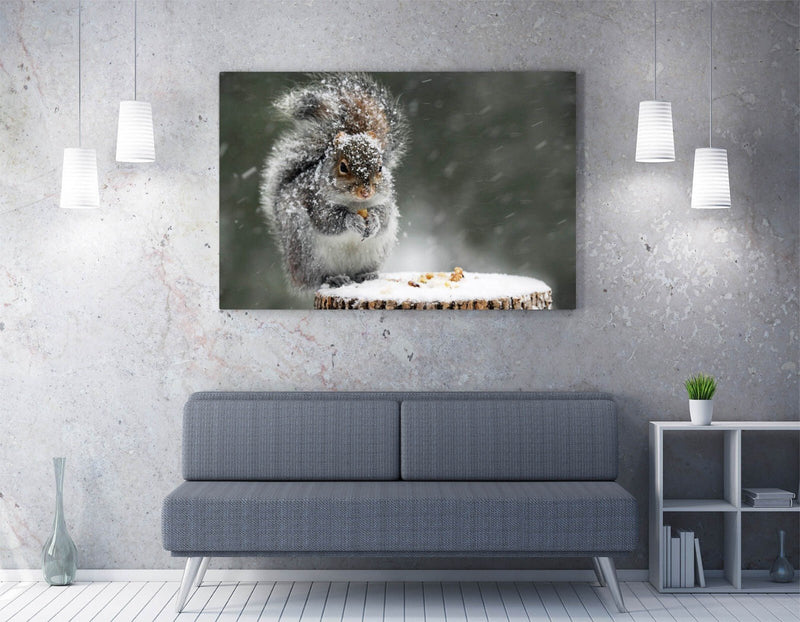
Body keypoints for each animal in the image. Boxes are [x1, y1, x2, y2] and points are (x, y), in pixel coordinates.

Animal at [260, 73, 408, 290]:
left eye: (380, 167)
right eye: (343, 167)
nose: (366, 192)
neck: (356, 204)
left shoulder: (385, 202)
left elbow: (384, 217)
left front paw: (373, 220)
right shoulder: (315, 202)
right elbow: (328, 220)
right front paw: (351, 220)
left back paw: (367, 275)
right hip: (306, 254)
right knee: (317, 279)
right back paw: (334, 278)